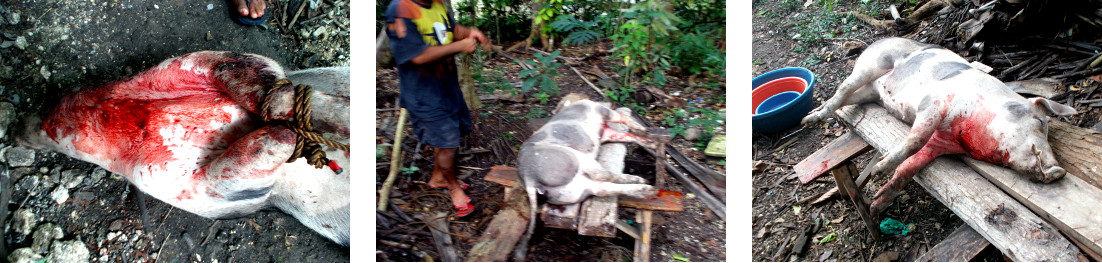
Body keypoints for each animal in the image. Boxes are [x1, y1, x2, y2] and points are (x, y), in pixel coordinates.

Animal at [511, 93, 656, 259]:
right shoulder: (600, 110)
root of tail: (529, 176)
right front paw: (644, 131)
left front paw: (651, 143)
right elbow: (621, 118)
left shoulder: (607, 132)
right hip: (575, 158)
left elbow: (627, 135)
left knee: (602, 188)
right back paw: (646, 183)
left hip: (572, 191)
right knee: (605, 176)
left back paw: (648, 189)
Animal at [802, 37, 1075, 216]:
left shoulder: (941, 144)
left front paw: (876, 205)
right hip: (872, 65)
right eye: (1039, 122)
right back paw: (808, 120)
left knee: (845, 99)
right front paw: (879, 170)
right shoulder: (935, 103)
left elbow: (911, 167)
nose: (1059, 170)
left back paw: (811, 117)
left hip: (869, 93)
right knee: (841, 90)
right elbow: (915, 140)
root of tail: (877, 40)